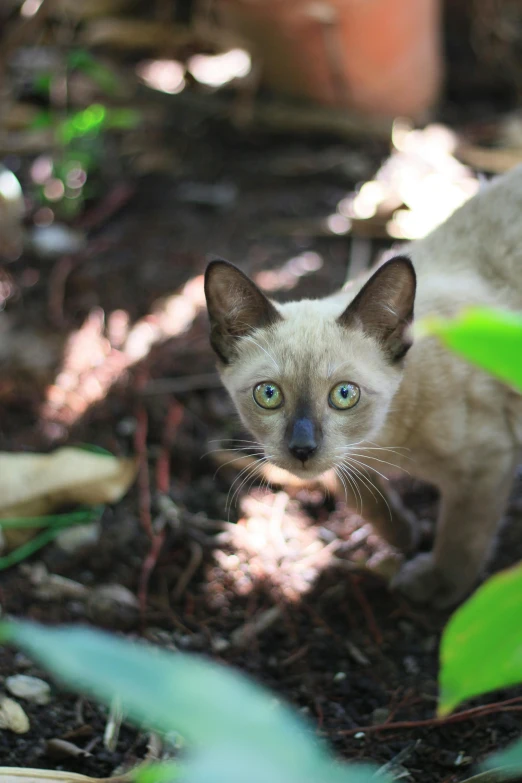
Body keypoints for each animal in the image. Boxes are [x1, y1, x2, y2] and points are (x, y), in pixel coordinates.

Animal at [202, 164, 520, 608]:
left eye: (344, 395)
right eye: (268, 395)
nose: (302, 449)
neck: (382, 439)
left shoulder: (486, 464)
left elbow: (462, 538)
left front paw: (436, 585)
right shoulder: (347, 459)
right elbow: (358, 493)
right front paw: (403, 535)